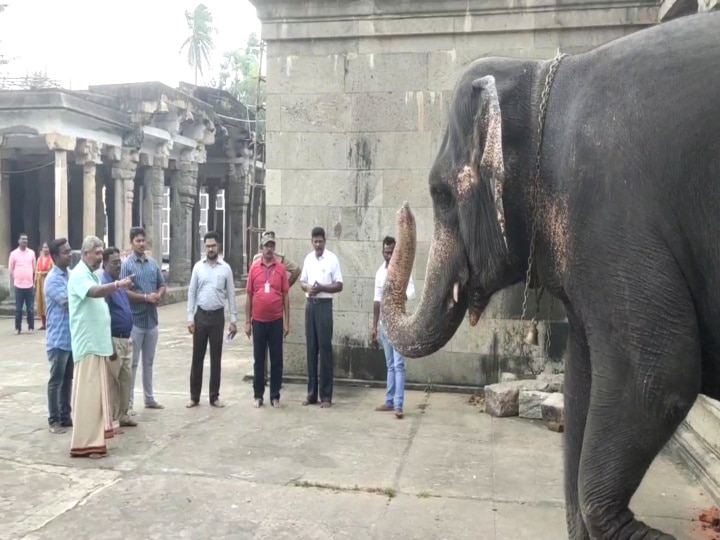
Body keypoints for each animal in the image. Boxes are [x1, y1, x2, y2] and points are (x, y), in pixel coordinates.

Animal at [380, 9, 720, 540]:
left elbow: (658, 378)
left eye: (440, 194)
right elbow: (583, 382)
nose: (402, 212)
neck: (540, 75)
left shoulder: (613, 219)